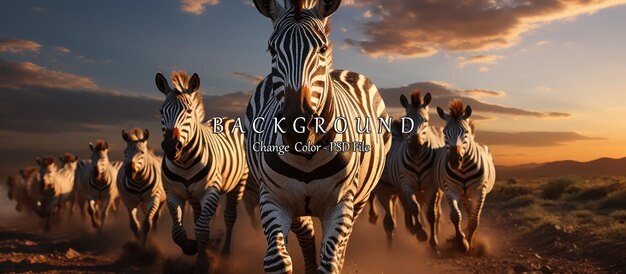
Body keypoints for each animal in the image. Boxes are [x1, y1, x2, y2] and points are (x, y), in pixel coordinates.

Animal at [155, 70, 250, 270]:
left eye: (189, 111)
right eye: (161, 111)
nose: (171, 147)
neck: (184, 162)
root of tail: (225, 118)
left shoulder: (210, 191)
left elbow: (201, 229)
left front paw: (203, 261)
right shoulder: (173, 194)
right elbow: (177, 231)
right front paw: (192, 248)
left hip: (240, 182)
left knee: (230, 217)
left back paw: (225, 253)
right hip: (195, 197)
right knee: (199, 217)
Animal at [246, 1, 388, 272]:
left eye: (322, 48)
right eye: (271, 49)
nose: (297, 126)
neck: (307, 155)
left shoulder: (341, 203)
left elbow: (330, 261)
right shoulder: (272, 198)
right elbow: (277, 259)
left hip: (359, 201)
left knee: (338, 248)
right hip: (296, 205)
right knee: (307, 234)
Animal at [368, 91, 446, 248]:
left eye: (425, 121)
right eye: (407, 122)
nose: (415, 146)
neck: (418, 160)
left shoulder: (431, 186)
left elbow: (431, 214)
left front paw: (433, 243)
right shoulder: (404, 185)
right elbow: (413, 208)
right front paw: (420, 232)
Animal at [432, 98, 494, 253]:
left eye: (465, 132)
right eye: (444, 132)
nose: (454, 160)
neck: (464, 169)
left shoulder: (479, 190)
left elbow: (474, 220)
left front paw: (470, 241)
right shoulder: (450, 189)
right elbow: (455, 216)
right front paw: (462, 242)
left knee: (472, 212)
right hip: (463, 194)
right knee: (468, 209)